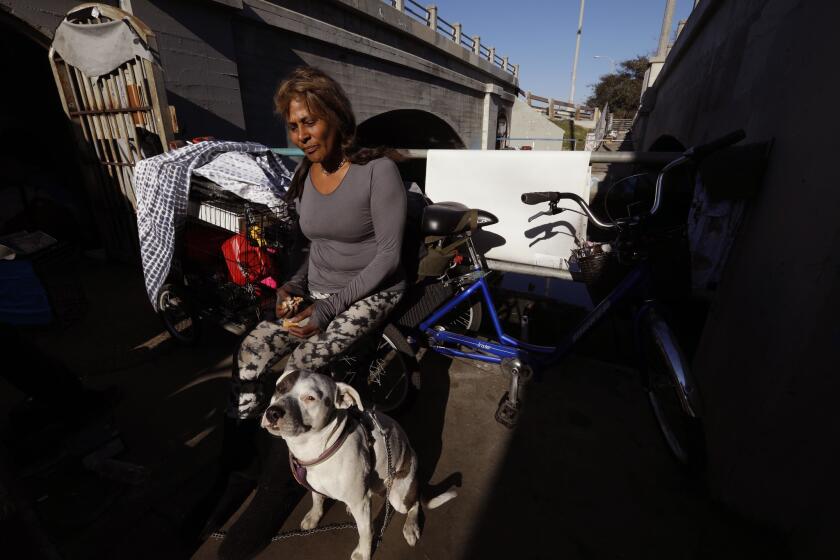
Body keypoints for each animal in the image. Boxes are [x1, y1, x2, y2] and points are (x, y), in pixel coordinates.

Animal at [262, 370, 460, 556]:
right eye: (280, 388)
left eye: (310, 398)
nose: (273, 412)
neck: (318, 447)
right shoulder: (316, 485)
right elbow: (317, 498)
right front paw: (314, 516)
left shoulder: (361, 504)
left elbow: (365, 531)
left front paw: (363, 553)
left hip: (399, 497)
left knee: (414, 504)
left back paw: (411, 527)